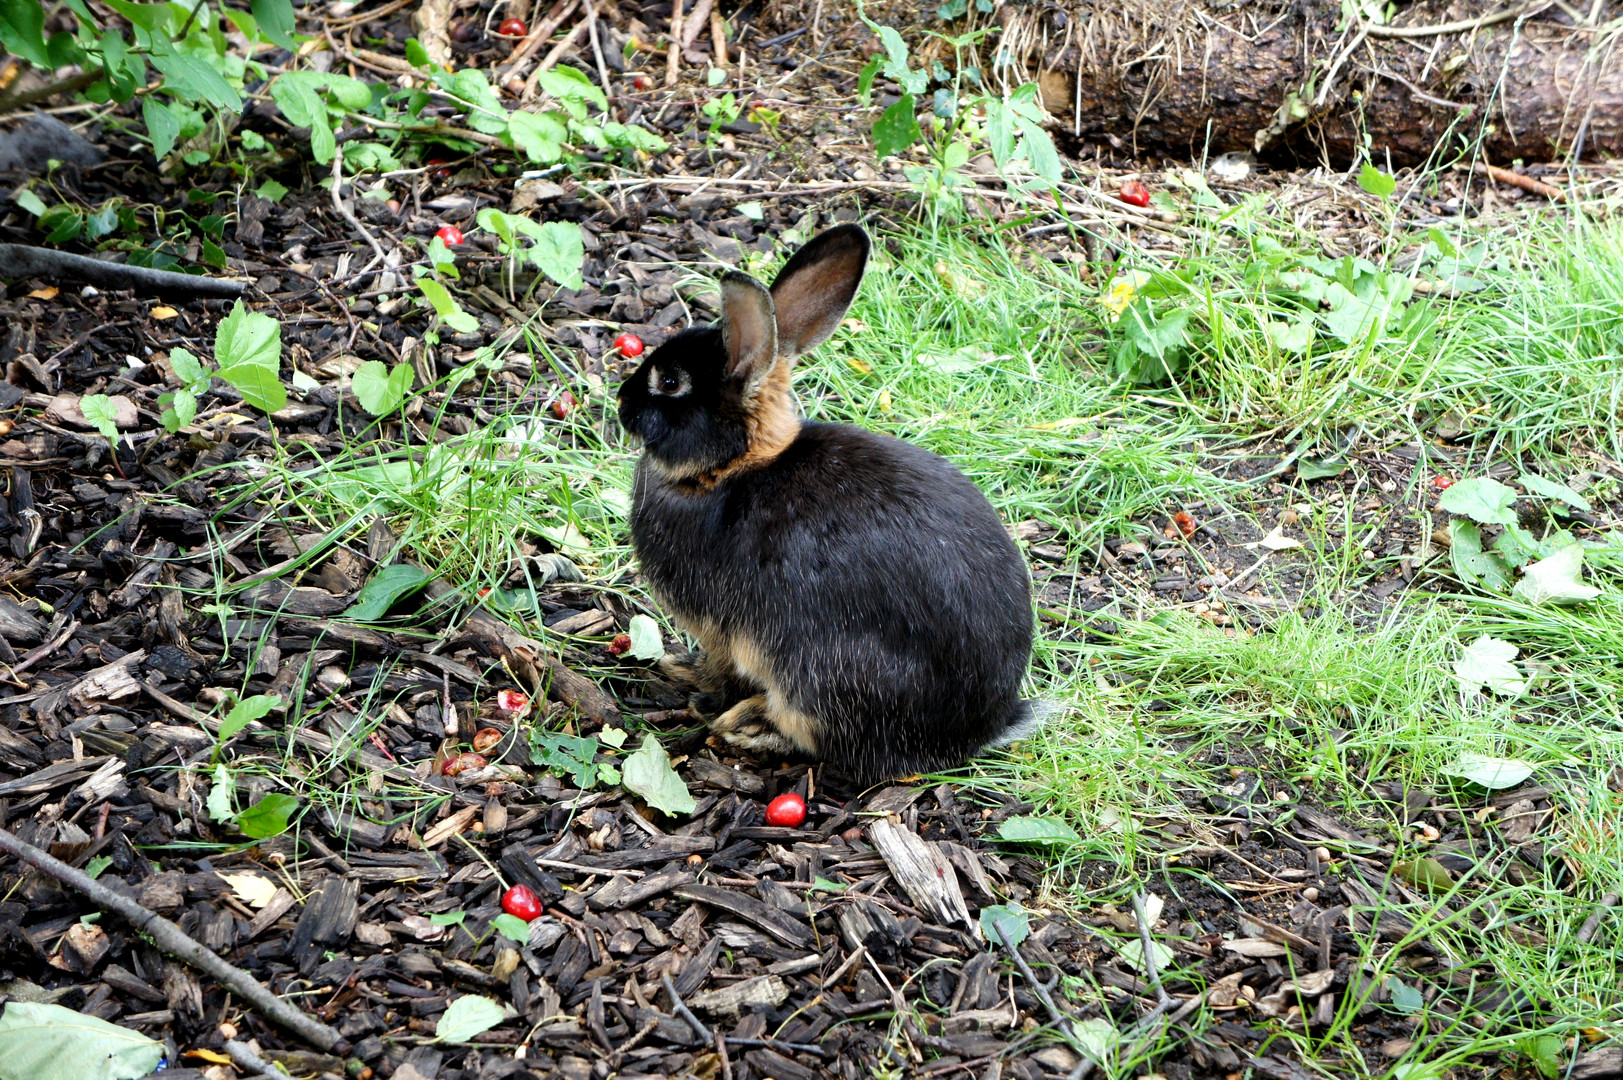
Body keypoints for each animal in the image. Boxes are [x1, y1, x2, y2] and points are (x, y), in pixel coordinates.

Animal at [613, 225, 1045, 782]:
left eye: (669, 383)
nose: (622, 402)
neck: (730, 467)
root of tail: (976, 733)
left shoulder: (722, 631)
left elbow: (721, 668)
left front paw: (695, 681)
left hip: (817, 676)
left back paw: (750, 724)